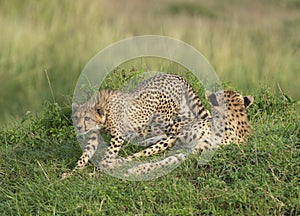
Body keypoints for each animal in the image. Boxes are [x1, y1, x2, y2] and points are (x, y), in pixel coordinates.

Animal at [63, 73, 210, 176]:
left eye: (87, 118)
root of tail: (173, 75)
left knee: (174, 131)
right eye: (76, 117)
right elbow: (86, 153)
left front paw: (97, 171)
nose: (78, 127)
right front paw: (72, 172)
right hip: (181, 110)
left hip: (164, 117)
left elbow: (108, 155)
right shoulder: (95, 134)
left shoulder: (117, 136)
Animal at [124, 89, 253, 176]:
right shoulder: (177, 138)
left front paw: (139, 169)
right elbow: (144, 153)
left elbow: (168, 160)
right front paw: (125, 162)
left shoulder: (194, 151)